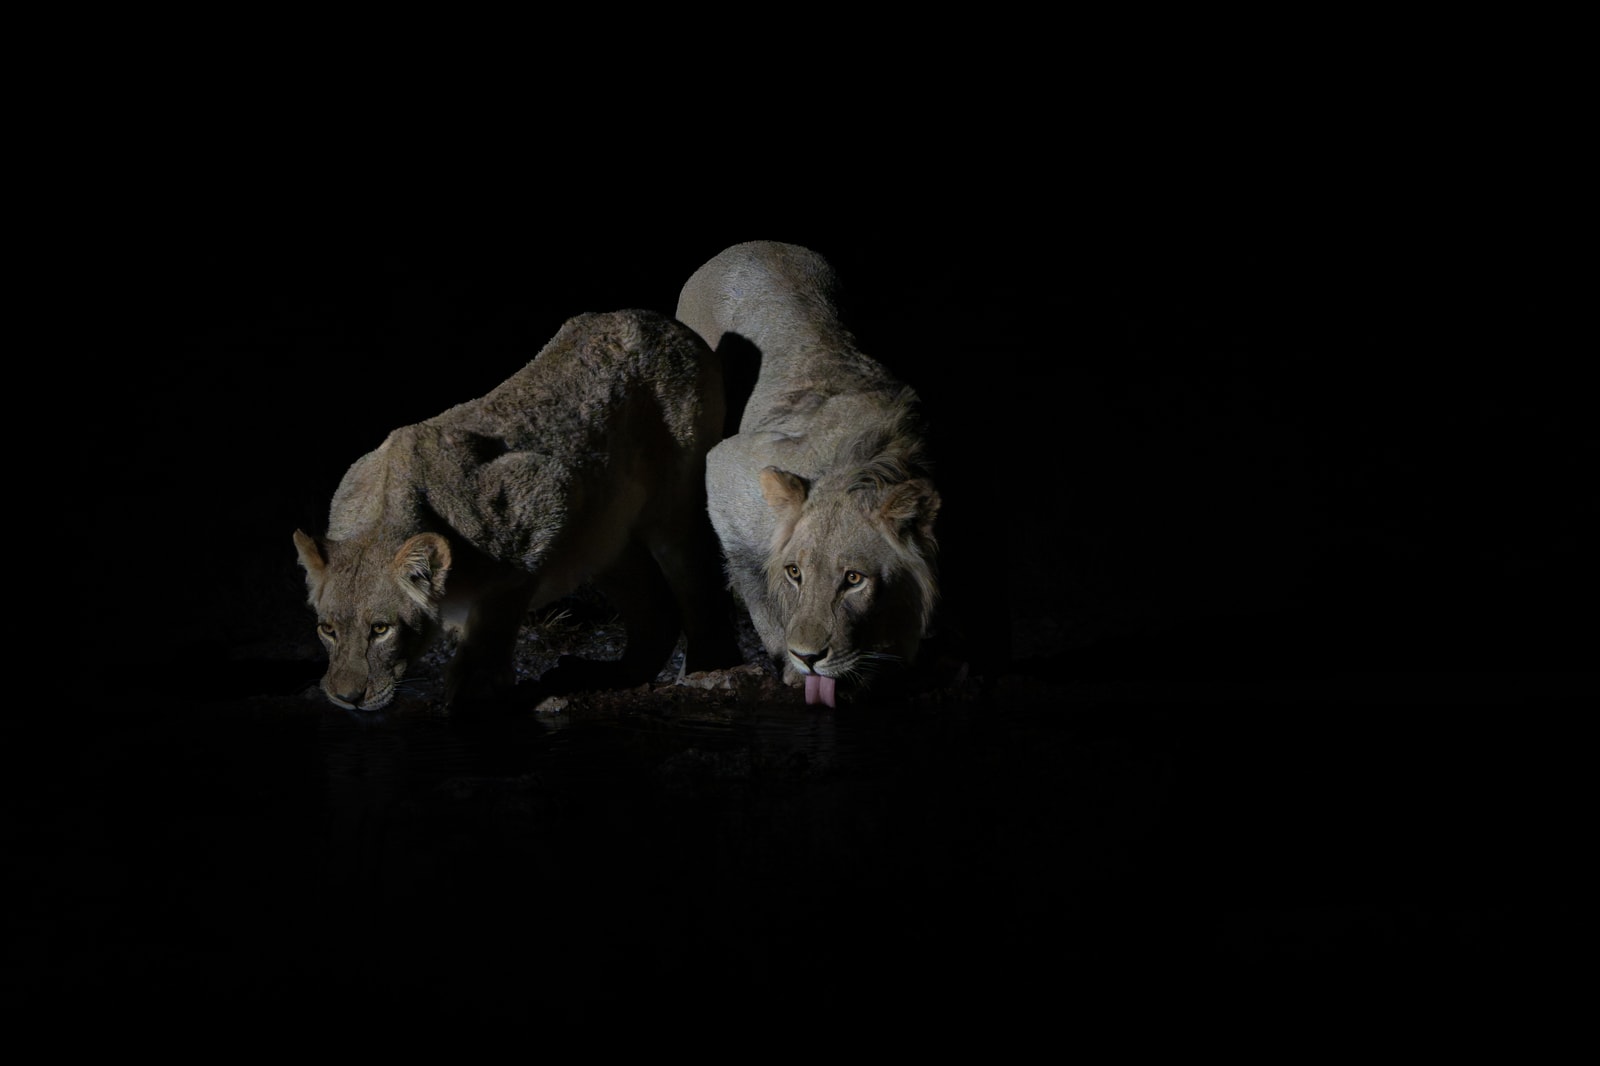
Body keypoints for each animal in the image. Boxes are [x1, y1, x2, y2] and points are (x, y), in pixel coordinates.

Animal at [292, 308, 743, 712]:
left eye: (381, 629)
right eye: (327, 629)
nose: (347, 698)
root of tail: (660, 319)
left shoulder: (545, 498)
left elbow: (496, 613)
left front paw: (473, 688)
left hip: (672, 505)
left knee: (698, 583)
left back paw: (707, 668)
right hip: (604, 539)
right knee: (657, 613)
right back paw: (603, 674)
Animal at [676, 240, 941, 706]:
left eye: (854, 579)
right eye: (795, 573)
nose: (810, 657)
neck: (861, 469)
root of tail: (749, 244)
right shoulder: (726, 467)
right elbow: (756, 585)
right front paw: (789, 663)